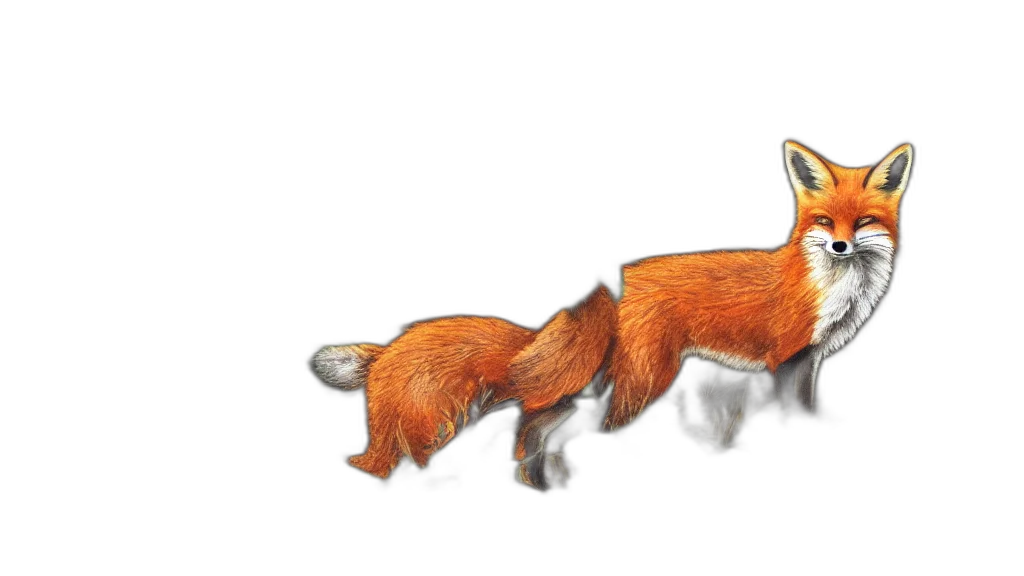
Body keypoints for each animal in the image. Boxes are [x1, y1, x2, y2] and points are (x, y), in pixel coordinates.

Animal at [310, 141, 913, 492]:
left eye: (862, 221)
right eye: (824, 220)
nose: (839, 246)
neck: (833, 288)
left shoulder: (810, 359)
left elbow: (808, 406)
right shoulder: (786, 356)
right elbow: (793, 410)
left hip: (577, 390)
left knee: (527, 426)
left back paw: (537, 481)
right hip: (643, 384)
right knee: (582, 427)